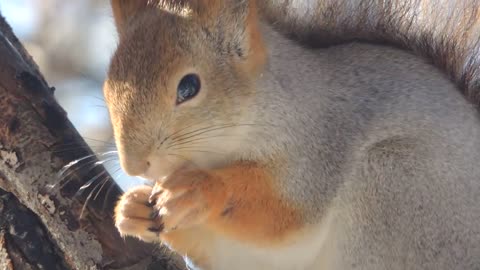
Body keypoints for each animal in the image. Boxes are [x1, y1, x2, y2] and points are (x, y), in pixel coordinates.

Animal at [107, 0, 480, 270]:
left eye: (188, 87)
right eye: (109, 87)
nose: (134, 165)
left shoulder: (320, 143)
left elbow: (285, 211)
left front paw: (199, 190)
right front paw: (131, 208)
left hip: (397, 185)